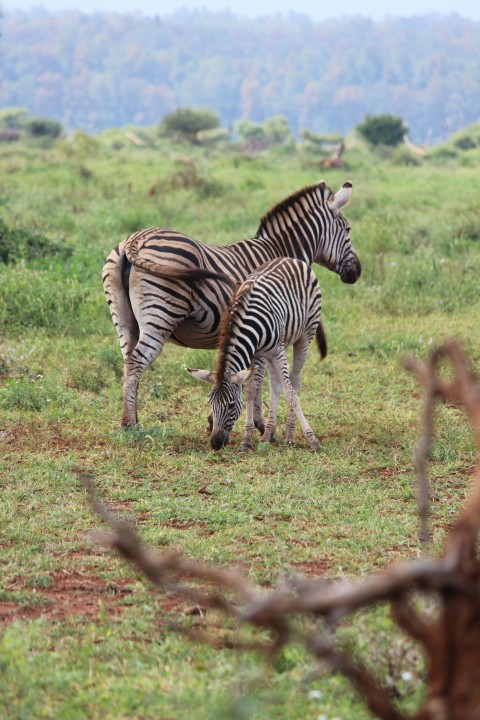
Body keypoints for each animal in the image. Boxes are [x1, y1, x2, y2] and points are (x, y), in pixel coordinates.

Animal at [189, 258, 328, 450]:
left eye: (231, 405)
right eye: (210, 403)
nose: (215, 443)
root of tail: (291, 259)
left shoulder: (277, 351)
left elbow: (290, 393)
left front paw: (312, 440)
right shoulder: (253, 354)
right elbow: (250, 392)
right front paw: (247, 441)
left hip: (305, 335)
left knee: (294, 381)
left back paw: (290, 436)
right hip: (267, 354)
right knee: (275, 384)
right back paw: (268, 434)